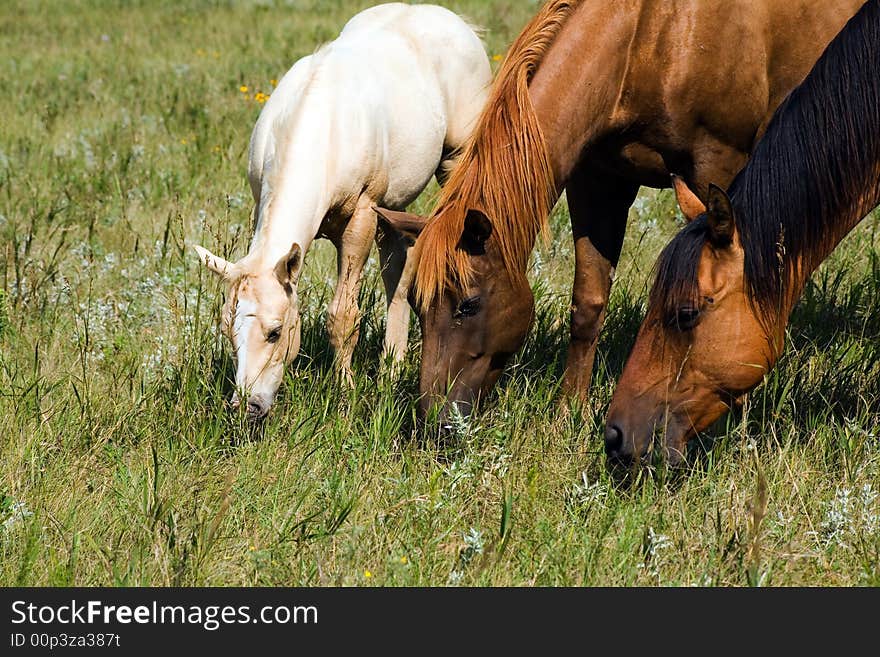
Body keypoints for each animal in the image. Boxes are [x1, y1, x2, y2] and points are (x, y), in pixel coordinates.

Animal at [193, 2, 492, 418]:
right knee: (397, 270)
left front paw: (344, 393)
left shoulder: (361, 218)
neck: (324, 128)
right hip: (392, 207)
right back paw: (391, 367)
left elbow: (343, 316)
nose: (247, 406)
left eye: (275, 332)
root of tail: (456, 23)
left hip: (453, 162)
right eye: (226, 329)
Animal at [374, 0, 864, 426]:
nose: (434, 418)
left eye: (468, 305)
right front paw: (567, 413)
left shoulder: (721, 167)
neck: (652, 35)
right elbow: (588, 303)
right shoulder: (597, 180)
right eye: (416, 304)